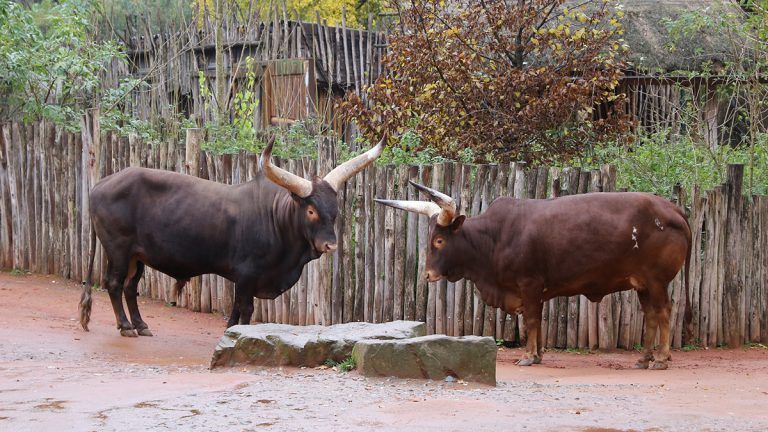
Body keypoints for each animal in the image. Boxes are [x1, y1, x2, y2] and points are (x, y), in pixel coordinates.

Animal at [79, 137, 382, 336]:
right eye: (310, 210)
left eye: (335, 210)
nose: (330, 244)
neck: (277, 219)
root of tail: (99, 185)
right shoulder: (247, 275)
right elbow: (245, 309)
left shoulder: (244, 279)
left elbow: (236, 309)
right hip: (118, 250)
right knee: (114, 284)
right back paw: (126, 327)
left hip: (137, 256)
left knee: (131, 287)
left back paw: (141, 325)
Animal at [376, 181, 692, 370]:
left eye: (439, 240)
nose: (428, 274)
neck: (494, 238)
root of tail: (672, 209)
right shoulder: (536, 291)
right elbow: (537, 322)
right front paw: (538, 354)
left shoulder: (529, 285)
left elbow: (530, 320)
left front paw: (528, 356)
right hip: (642, 284)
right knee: (651, 315)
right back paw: (644, 358)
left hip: (657, 281)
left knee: (664, 312)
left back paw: (661, 359)